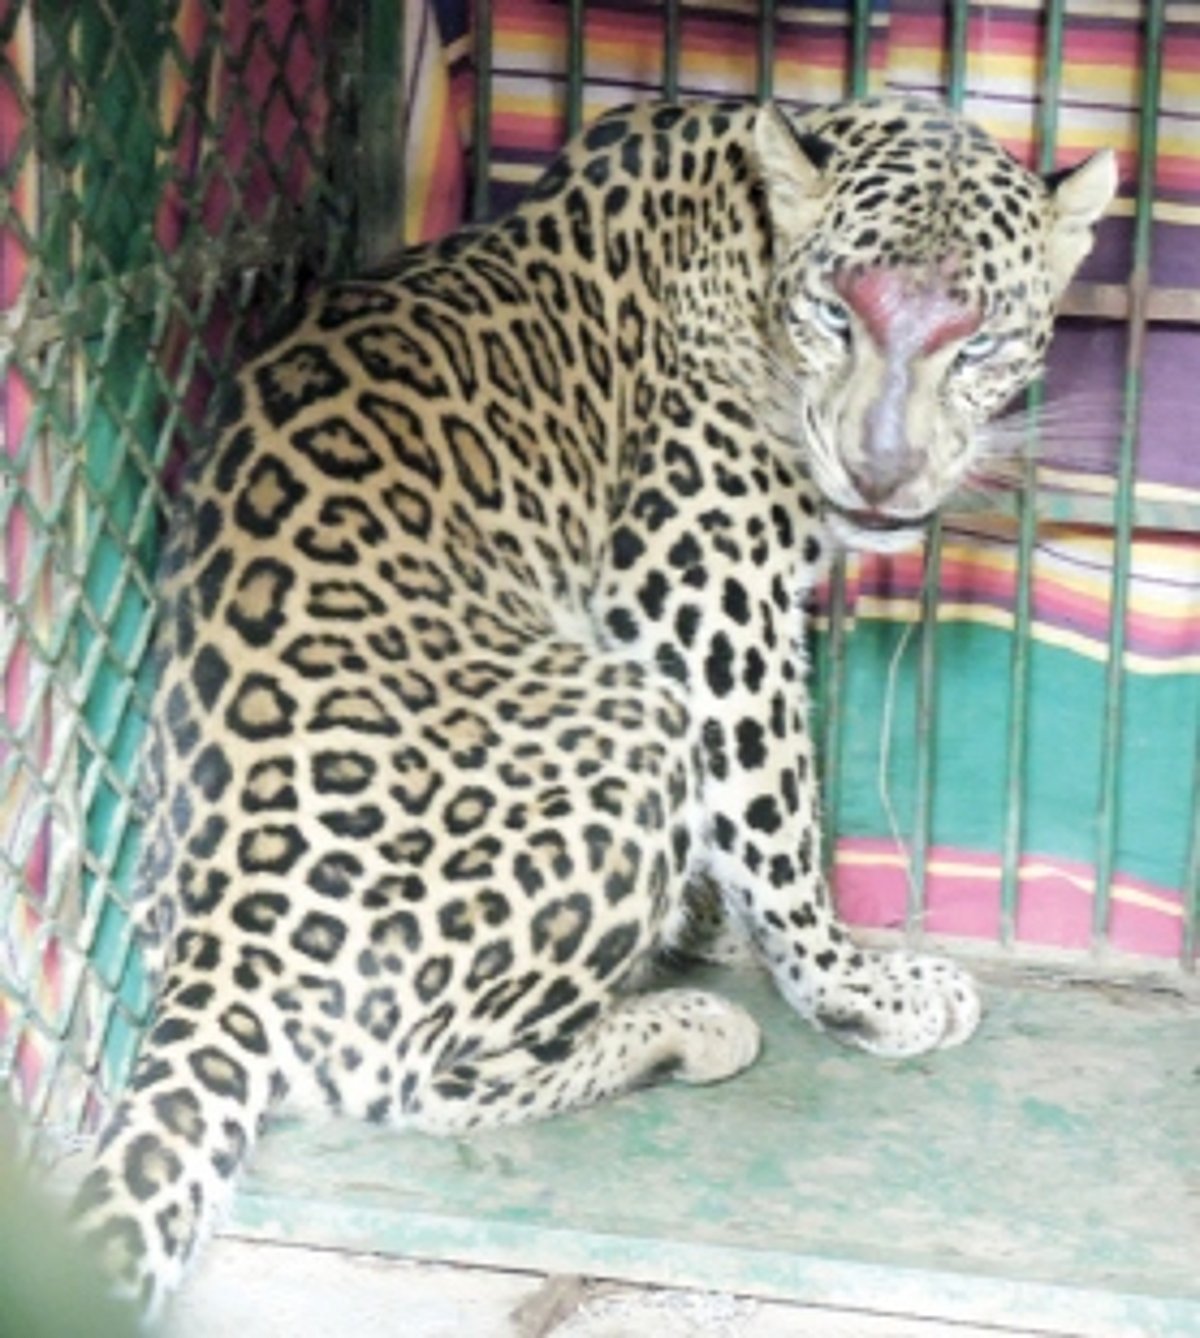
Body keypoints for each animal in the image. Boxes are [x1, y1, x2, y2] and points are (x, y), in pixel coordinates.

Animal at [71, 94, 1115, 1321]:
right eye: (835, 316)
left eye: (979, 342)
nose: (881, 473)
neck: (751, 256)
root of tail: (219, 942)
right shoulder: (704, 605)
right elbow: (777, 816)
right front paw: (853, 988)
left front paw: (735, 924)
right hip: (631, 726)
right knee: (401, 1080)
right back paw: (682, 1028)